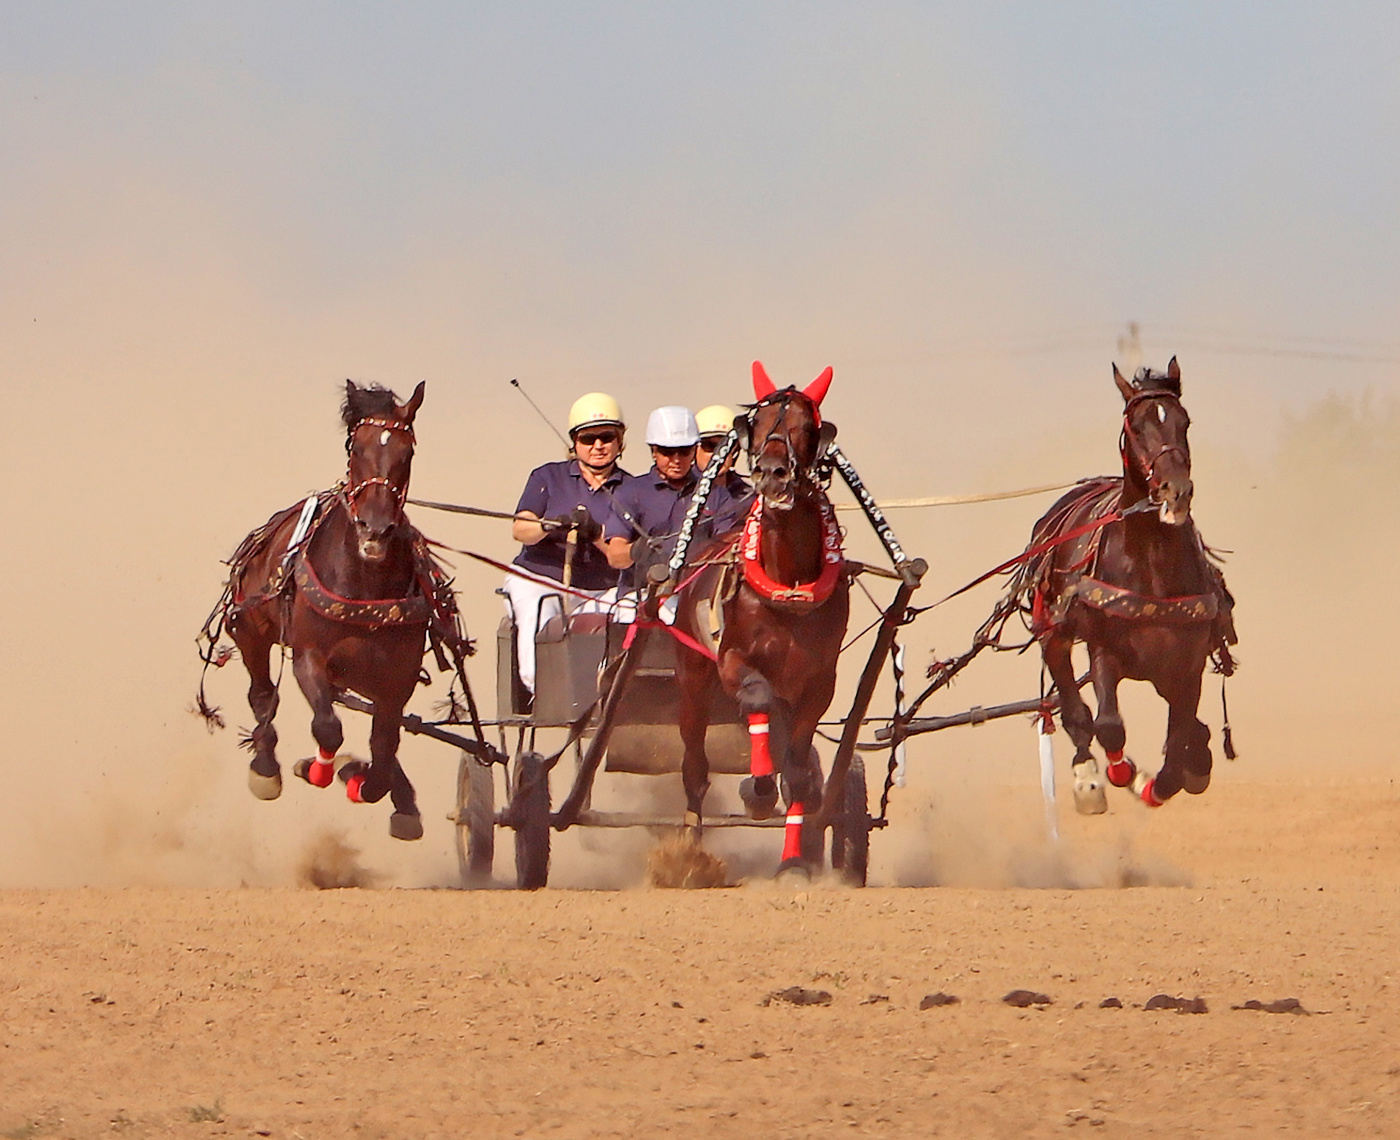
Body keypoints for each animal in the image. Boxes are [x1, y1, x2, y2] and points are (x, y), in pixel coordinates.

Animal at [203, 380, 467, 840]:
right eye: (355, 448)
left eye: (407, 453)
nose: (375, 529)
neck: (365, 586)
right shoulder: (310, 657)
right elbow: (327, 728)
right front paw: (319, 769)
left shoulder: (397, 679)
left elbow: (384, 749)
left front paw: (361, 778)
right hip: (252, 631)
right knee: (262, 694)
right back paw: (266, 766)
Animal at [672, 366, 845, 873]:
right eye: (761, 422)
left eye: (807, 426)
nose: (772, 472)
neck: (788, 583)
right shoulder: (733, 661)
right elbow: (755, 698)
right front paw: (759, 791)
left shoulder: (817, 682)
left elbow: (800, 773)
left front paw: (794, 861)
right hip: (692, 679)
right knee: (695, 767)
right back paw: (689, 848)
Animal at [1019, 357, 1237, 812]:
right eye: (1136, 426)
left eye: (1184, 421)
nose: (1176, 491)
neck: (1150, 564)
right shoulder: (1104, 650)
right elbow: (1108, 726)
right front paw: (1125, 774)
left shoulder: (1186, 665)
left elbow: (1180, 740)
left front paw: (1173, 776)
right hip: (1053, 632)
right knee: (1074, 710)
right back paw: (1088, 776)